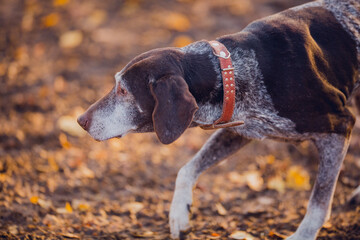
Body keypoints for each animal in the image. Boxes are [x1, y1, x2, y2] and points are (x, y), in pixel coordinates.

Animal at [77, 0, 358, 239]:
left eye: (123, 90)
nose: (80, 120)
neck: (231, 70)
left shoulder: (339, 127)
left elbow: (319, 203)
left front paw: (304, 234)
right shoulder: (237, 127)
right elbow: (186, 169)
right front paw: (179, 214)